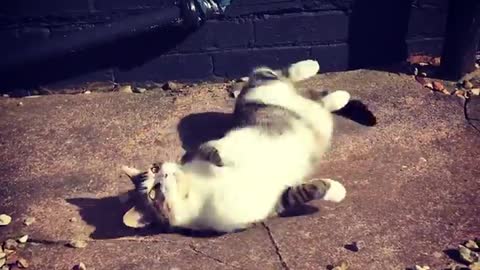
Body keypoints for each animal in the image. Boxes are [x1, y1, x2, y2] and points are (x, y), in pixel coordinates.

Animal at [122, 60, 350, 233]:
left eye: (154, 168)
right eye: (153, 193)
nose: (165, 174)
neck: (194, 188)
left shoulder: (201, 149)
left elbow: (210, 150)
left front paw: (221, 158)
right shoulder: (271, 201)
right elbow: (302, 192)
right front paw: (337, 191)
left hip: (261, 91)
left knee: (270, 73)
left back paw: (312, 67)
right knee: (318, 101)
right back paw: (338, 98)